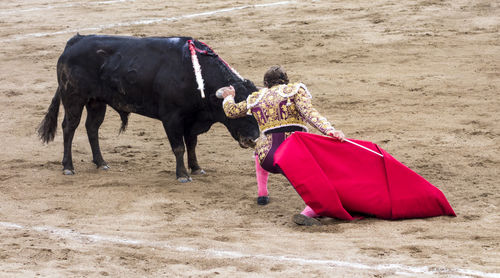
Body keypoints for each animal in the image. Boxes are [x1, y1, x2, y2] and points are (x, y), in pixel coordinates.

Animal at [37, 34, 260, 182]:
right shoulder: (172, 118)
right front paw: (182, 175)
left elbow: (192, 144)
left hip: (96, 102)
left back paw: (101, 162)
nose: (253, 140)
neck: (195, 74)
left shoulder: (191, 119)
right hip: (74, 99)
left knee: (92, 128)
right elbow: (179, 147)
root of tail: (74, 41)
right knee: (69, 127)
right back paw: (68, 167)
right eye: (240, 112)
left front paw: (196, 168)